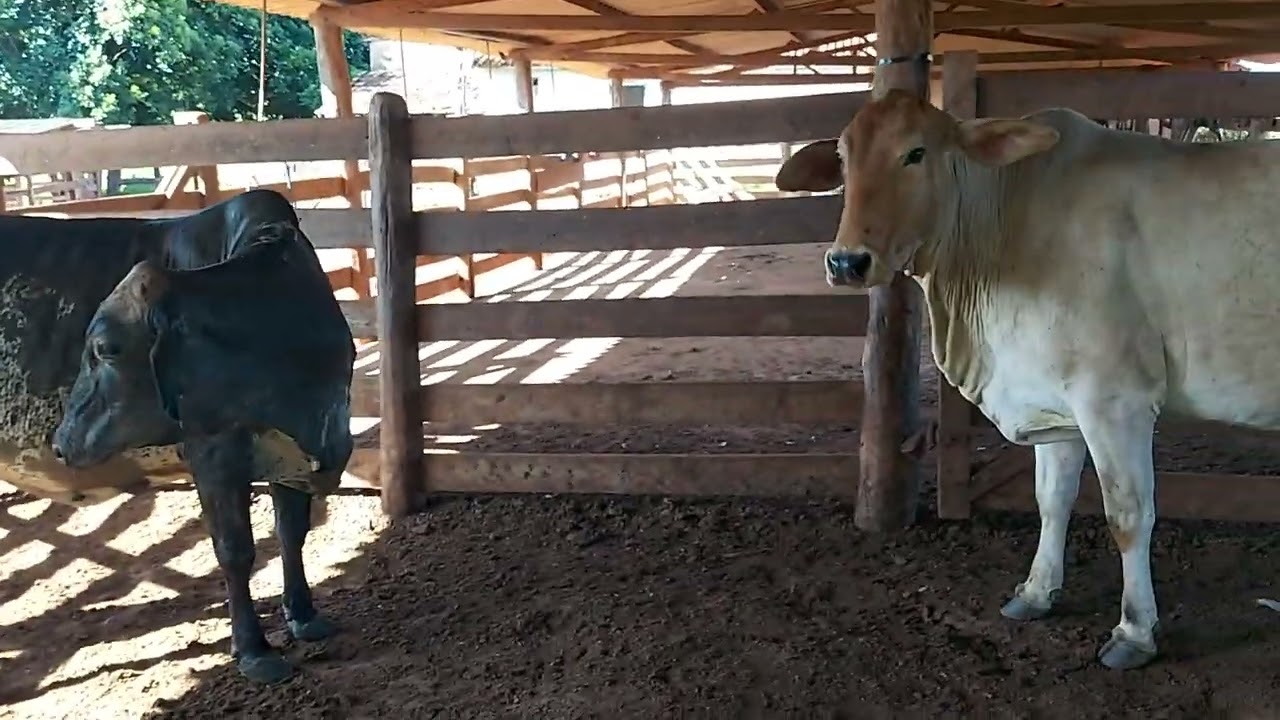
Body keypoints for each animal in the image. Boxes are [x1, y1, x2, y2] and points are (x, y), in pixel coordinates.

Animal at [0, 189, 353, 683]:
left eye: (105, 349)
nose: (61, 441)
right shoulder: (212, 451)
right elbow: (235, 550)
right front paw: (254, 651)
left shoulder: (291, 454)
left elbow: (292, 532)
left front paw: (304, 615)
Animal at [774, 87, 1280, 670]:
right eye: (842, 157)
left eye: (916, 153)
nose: (846, 262)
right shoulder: (1054, 401)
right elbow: (1052, 499)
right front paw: (1037, 593)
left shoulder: (1115, 399)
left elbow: (1127, 515)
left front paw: (1134, 631)